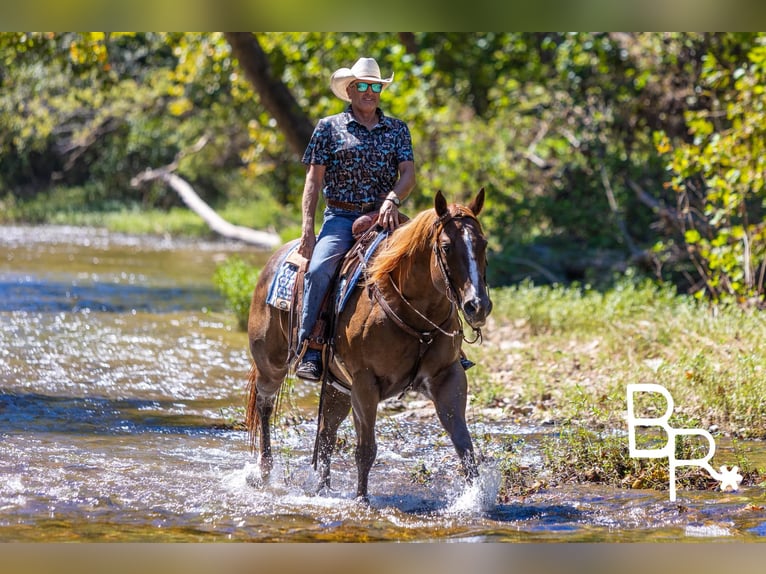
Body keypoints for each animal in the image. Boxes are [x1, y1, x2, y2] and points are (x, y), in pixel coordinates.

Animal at [249, 188, 496, 500]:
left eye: (483, 243)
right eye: (447, 246)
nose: (478, 306)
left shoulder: (448, 377)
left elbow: (464, 445)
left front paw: (476, 500)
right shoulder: (366, 382)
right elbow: (365, 449)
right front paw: (362, 500)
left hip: (337, 386)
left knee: (326, 432)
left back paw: (322, 489)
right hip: (272, 365)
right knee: (265, 404)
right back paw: (265, 472)